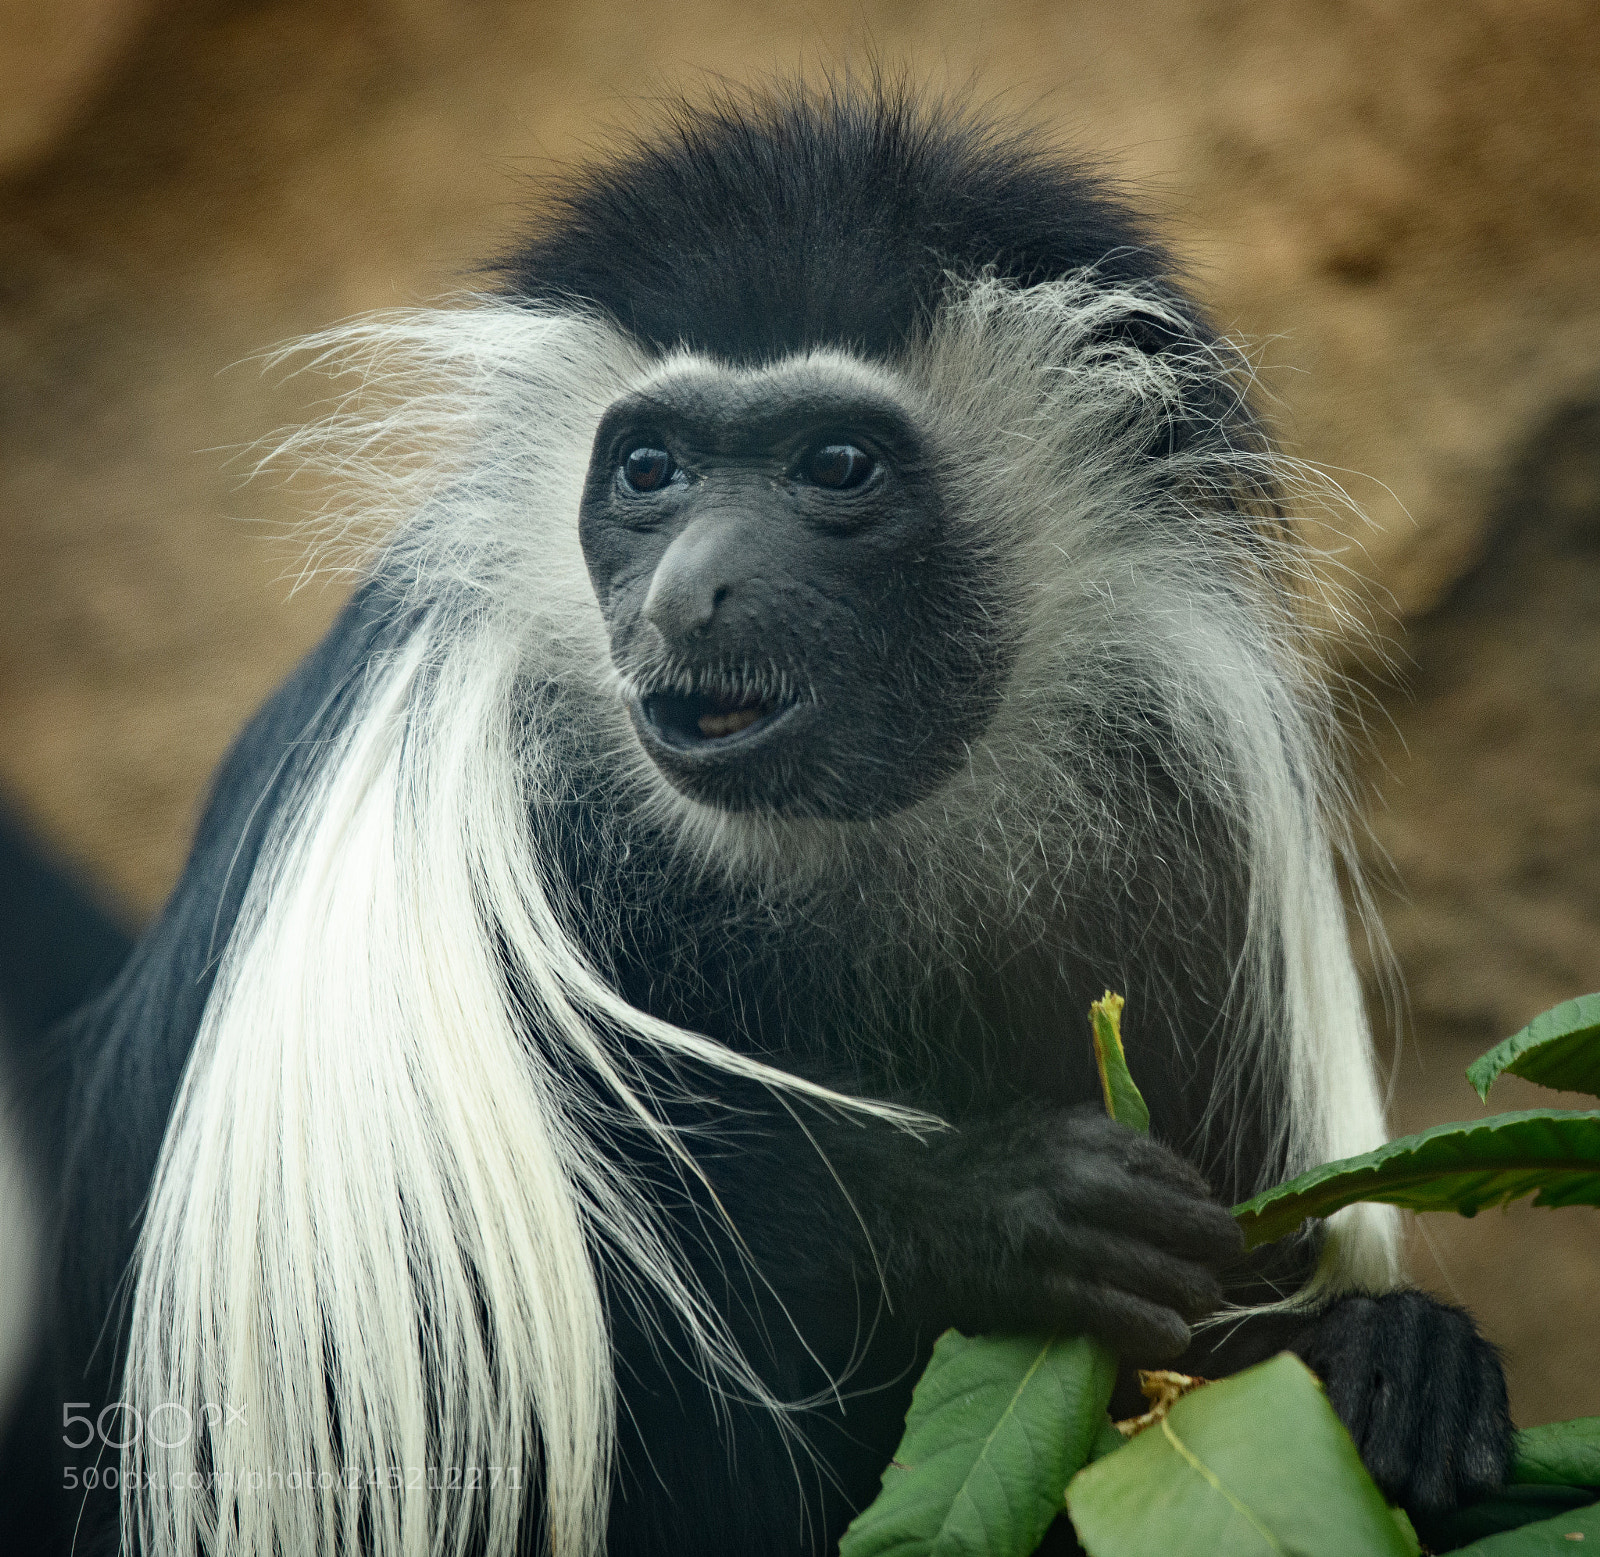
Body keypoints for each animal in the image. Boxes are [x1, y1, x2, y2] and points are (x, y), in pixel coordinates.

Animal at [0, 81, 1512, 1557]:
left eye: (835, 464)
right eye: (649, 469)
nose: (686, 595)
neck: (838, 837)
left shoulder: (1186, 820)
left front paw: (1393, 1359)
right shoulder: (441, 798)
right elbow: (462, 1348)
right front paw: (988, 1204)